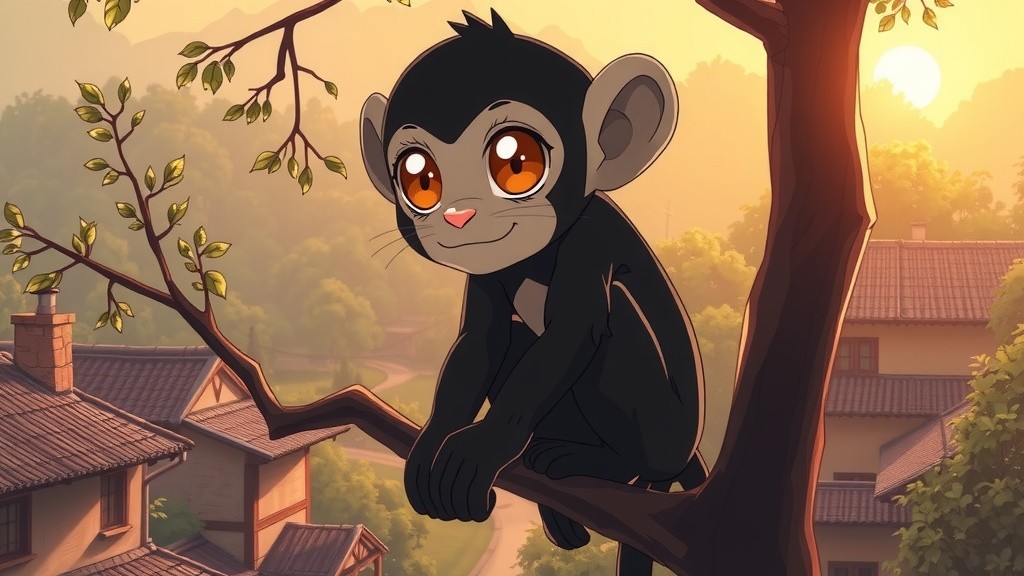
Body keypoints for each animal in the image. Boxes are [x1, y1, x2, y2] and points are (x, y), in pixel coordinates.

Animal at [359, 10, 707, 576]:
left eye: (515, 161)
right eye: (419, 178)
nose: (458, 216)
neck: (535, 258)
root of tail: (686, 453)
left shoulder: (589, 240)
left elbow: (571, 334)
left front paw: (479, 449)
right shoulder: (486, 270)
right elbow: (482, 340)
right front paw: (435, 439)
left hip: (661, 432)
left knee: (615, 321)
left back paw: (602, 464)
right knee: (521, 339)